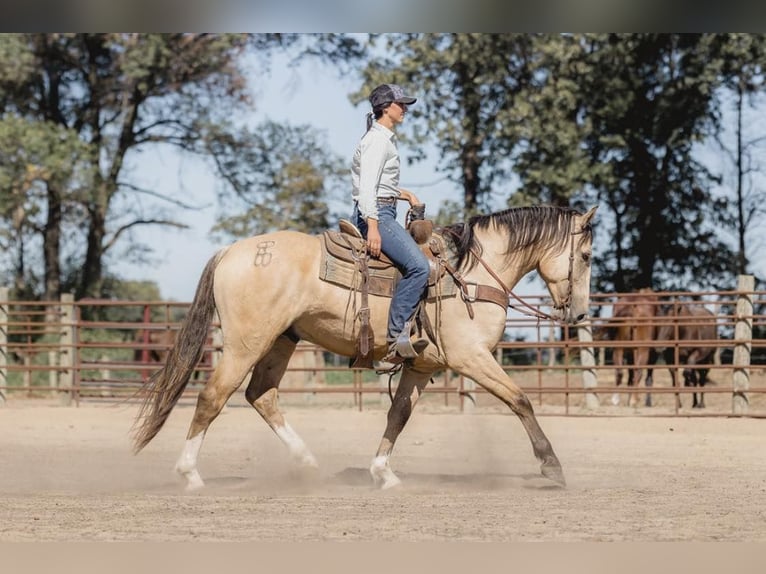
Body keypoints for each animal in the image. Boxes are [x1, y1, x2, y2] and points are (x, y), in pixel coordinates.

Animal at [132, 206, 600, 490]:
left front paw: (382, 473)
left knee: (261, 395)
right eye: (588, 255)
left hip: (281, 340)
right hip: (246, 343)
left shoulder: (421, 367)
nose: (579, 312)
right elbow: (520, 400)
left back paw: (307, 463)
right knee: (213, 397)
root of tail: (232, 251)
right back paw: (190, 475)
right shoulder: (471, 358)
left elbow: (398, 415)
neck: (469, 273)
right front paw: (552, 465)